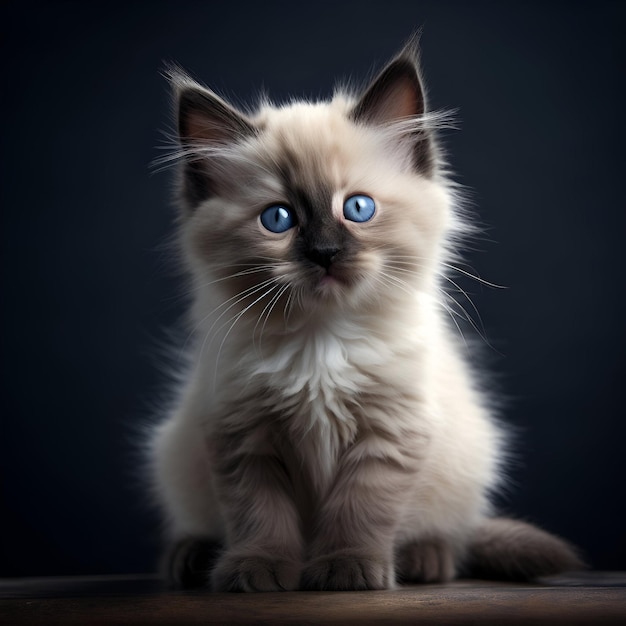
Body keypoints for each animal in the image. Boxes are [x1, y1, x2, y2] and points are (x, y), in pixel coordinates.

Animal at [147, 39, 580, 588]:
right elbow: (260, 517)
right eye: (278, 219)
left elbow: (360, 510)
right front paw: (257, 569)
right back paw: (191, 557)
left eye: (357, 209)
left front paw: (344, 568)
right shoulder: (244, 437)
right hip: (177, 456)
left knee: (453, 535)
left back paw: (424, 560)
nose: (326, 253)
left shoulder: (389, 433)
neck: (321, 342)